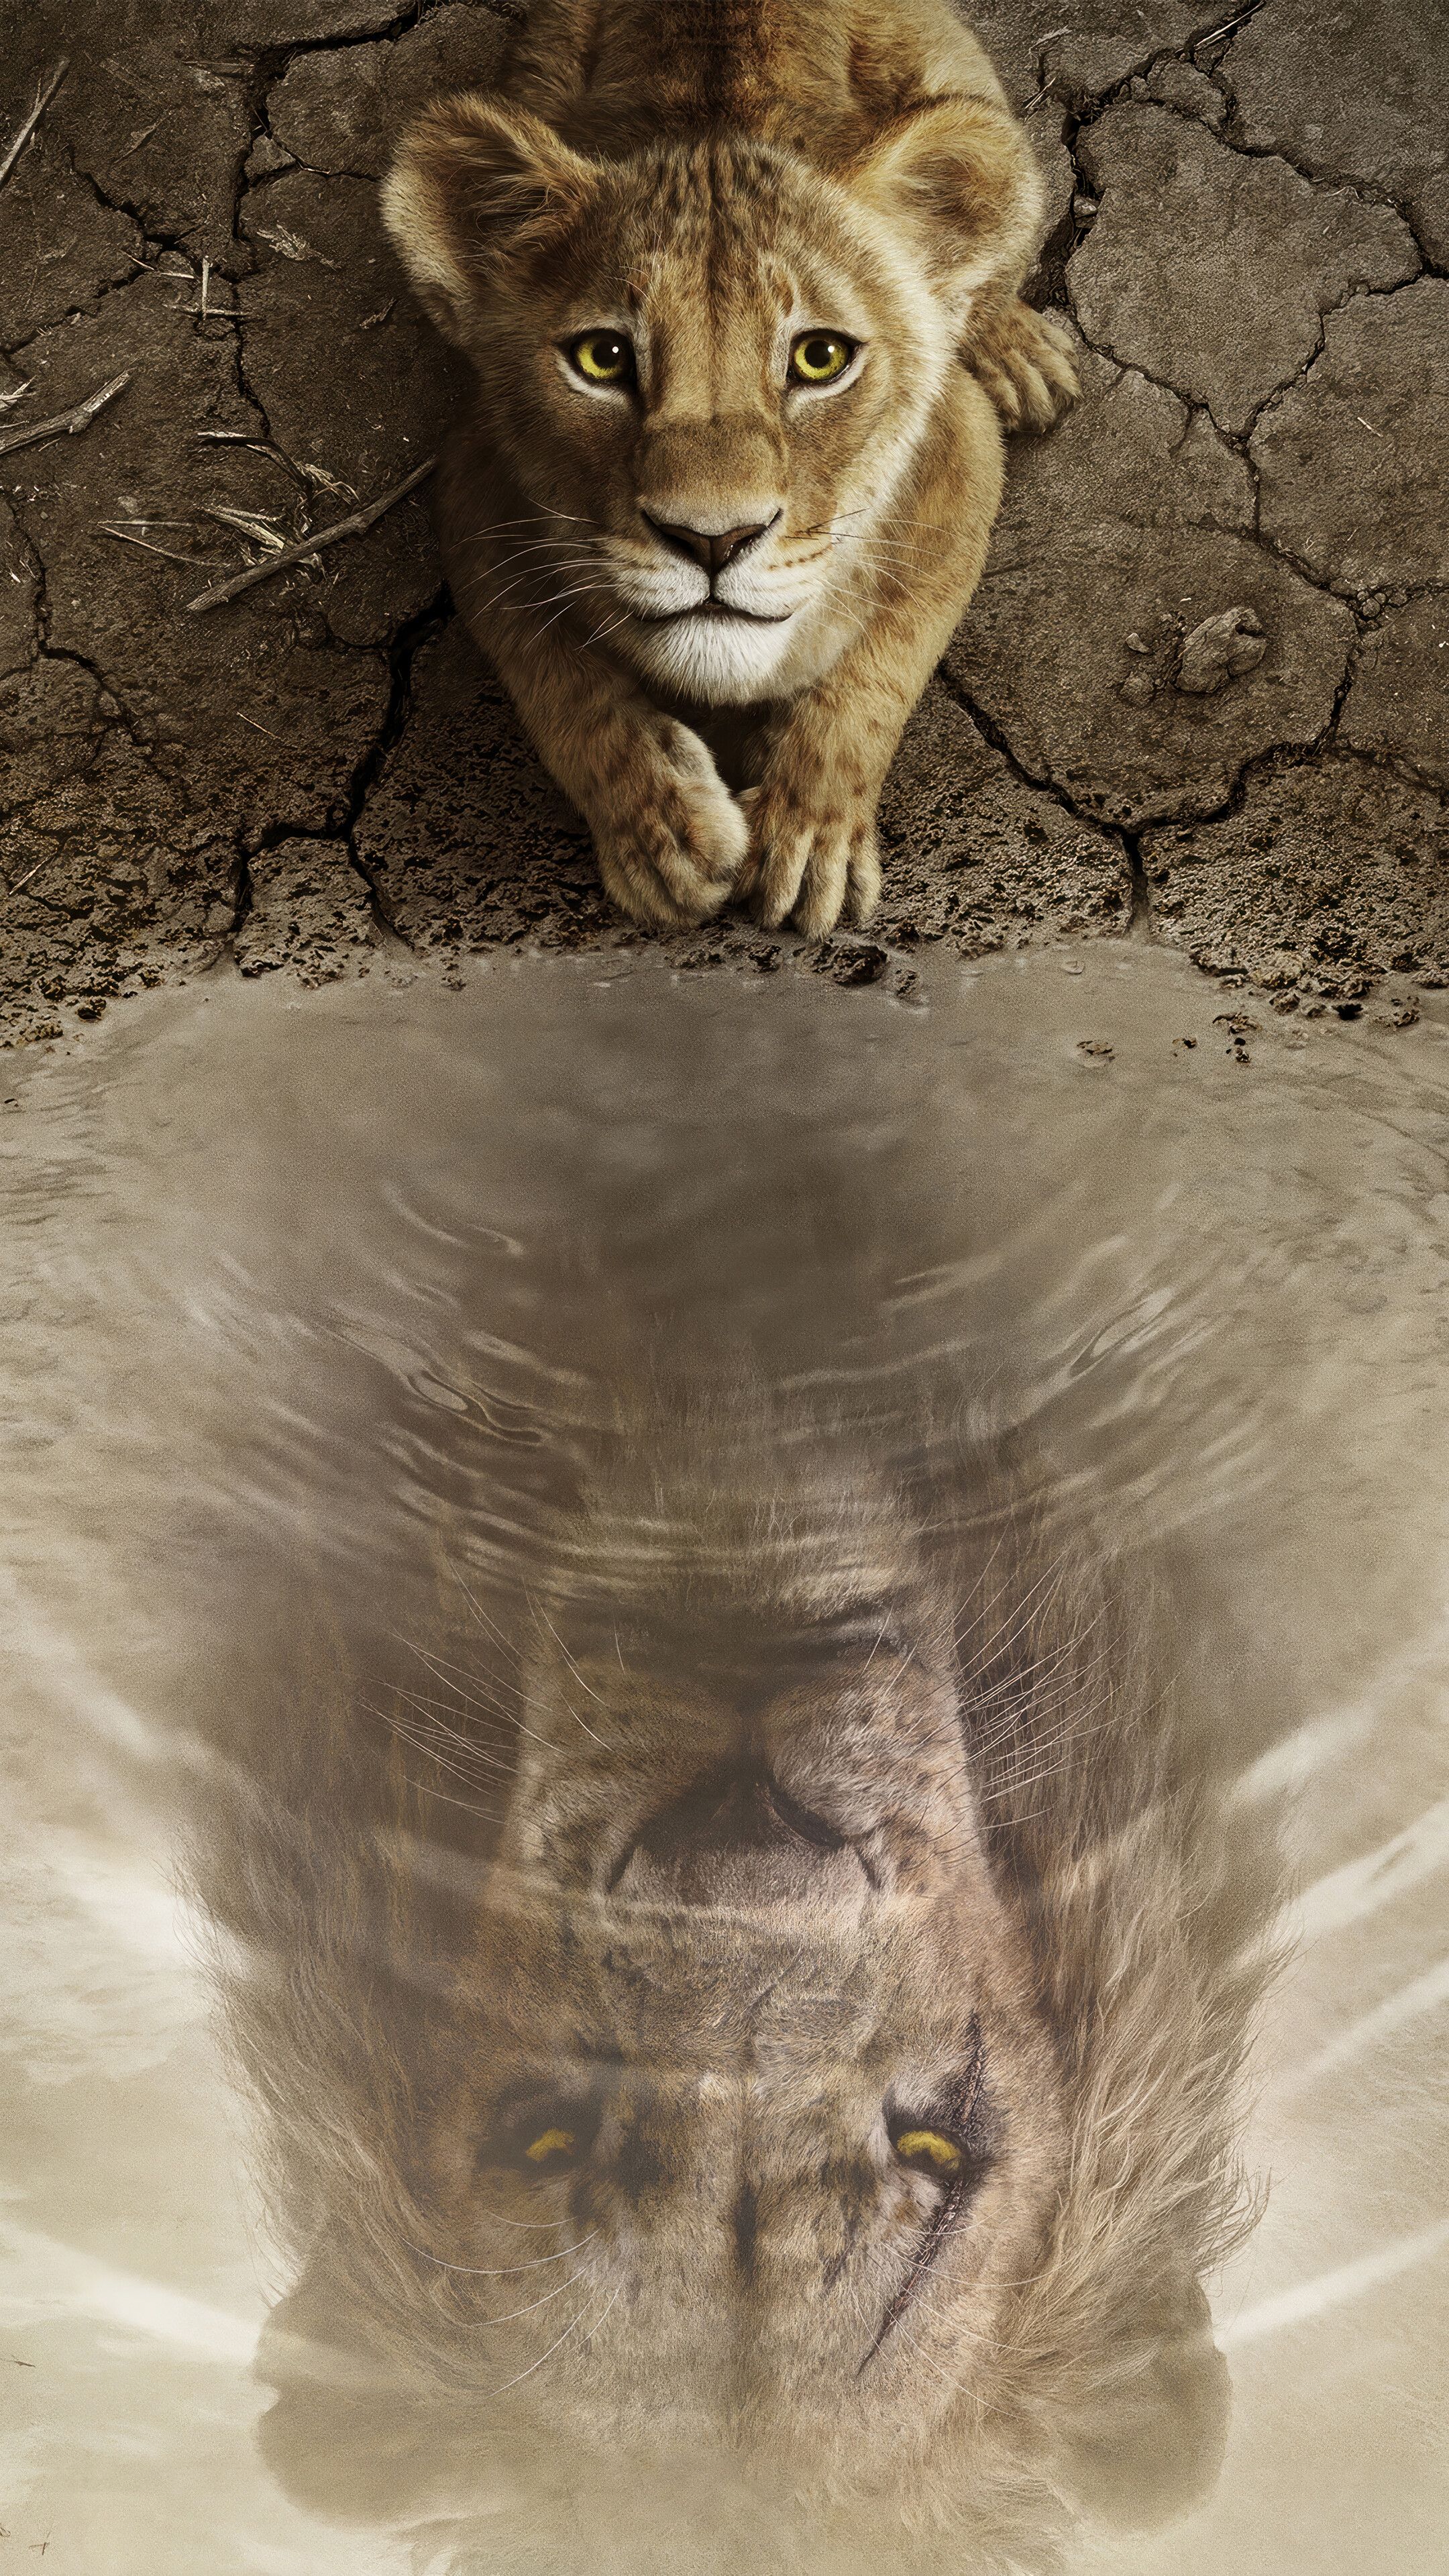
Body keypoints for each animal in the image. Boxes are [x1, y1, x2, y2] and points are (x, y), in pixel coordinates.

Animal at [379, 0, 1076, 938]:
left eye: (820, 357)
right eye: (602, 358)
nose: (714, 541)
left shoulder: (960, 453)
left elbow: (880, 668)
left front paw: (810, 837)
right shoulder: (472, 485)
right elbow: (557, 680)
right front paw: (663, 837)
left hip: (962, 84)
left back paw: (1017, 352)